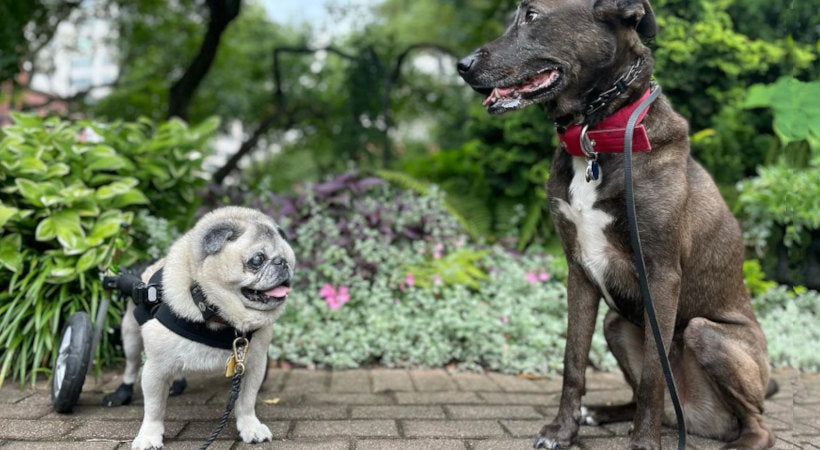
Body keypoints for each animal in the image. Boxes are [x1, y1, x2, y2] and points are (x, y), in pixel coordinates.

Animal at [462, 0, 776, 450]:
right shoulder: (578, 270)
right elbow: (573, 361)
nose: (462, 65)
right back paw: (604, 414)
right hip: (616, 324)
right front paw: (563, 430)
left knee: (757, 421)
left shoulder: (661, 274)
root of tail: (700, 419)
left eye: (532, 15)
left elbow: (653, 376)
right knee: (649, 400)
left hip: (707, 333)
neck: (595, 134)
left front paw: (644, 443)